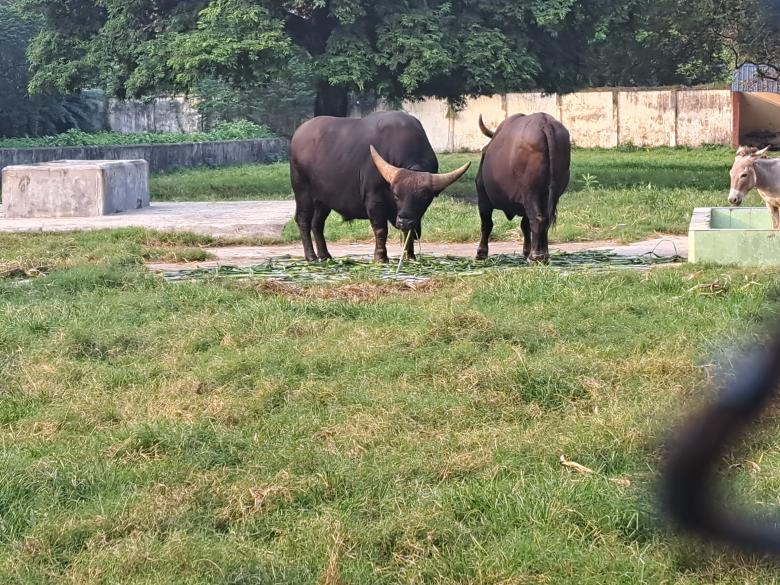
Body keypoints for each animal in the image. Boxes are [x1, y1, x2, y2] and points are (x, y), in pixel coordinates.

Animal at [290, 112, 471, 263]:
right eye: (396, 195)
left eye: (424, 198)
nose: (404, 220)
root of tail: (298, 134)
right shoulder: (374, 201)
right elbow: (381, 230)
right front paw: (380, 257)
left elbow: (408, 233)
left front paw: (410, 256)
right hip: (302, 192)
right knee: (303, 220)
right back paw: (311, 256)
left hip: (323, 200)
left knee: (317, 224)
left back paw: (325, 255)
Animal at [475, 113, 571, 262]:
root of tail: (545, 123)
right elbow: (525, 226)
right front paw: (526, 251)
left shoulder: (483, 198)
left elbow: (487, 224)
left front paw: (481, 253)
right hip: (551, 194)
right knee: (544, 220)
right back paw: (542, 254)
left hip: (531, 192)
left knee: (537, 219)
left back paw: (536, 256)